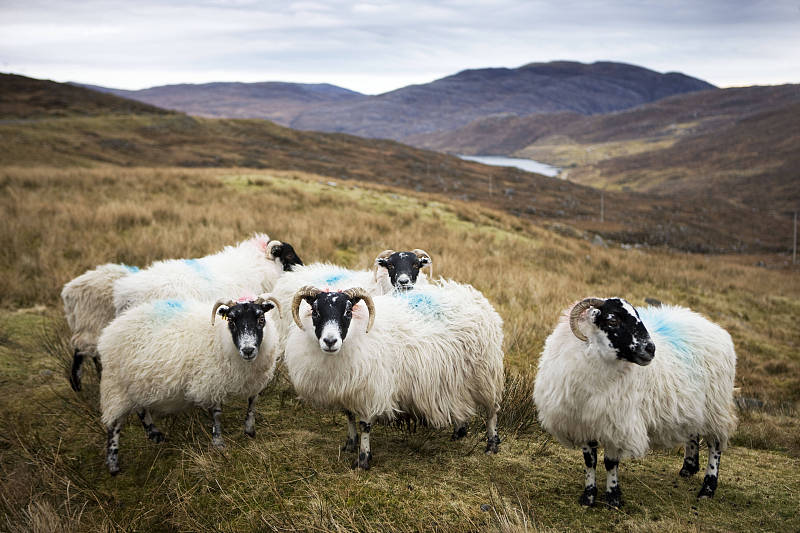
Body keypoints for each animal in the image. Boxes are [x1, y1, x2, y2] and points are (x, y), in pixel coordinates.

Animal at [97, 296, 282, 474]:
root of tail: (110, 330)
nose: (248, 350)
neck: (221, 337)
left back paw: (156, 435)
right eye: (231, 321)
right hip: (115, 385)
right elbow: (216, 414)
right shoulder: (211, 381)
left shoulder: (254, 379)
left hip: (136, 384)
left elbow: (253, 402)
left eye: (261, 318)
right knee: (113, 425)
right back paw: (113, 464)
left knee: (140, 408)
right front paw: (218, 443)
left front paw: (250, 429)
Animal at [284, 280, 504, 468]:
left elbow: (364, 425)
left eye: (348, 311)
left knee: (492, 410)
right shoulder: (347, 387)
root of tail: (474, 296)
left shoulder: (370, 389)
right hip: (456, 375)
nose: (330, 341)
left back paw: (491, 444)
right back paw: (459, 432)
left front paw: (363, 460)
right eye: (315, 311)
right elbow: (349, 416)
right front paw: (350, 444)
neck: (358, 333)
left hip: (486, 374)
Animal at [536, 298, 736, 504]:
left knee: (715, 446)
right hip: (692, 405)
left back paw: (707, 488)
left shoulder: (616, 424)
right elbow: (590, 461)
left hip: (716, 406)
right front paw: (588, 497)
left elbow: (610, 462)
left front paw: (613, 498)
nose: (651, 349)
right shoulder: (583, 423)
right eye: (613, 320)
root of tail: (714, 327)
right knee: (693, 432)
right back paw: (688, 468)